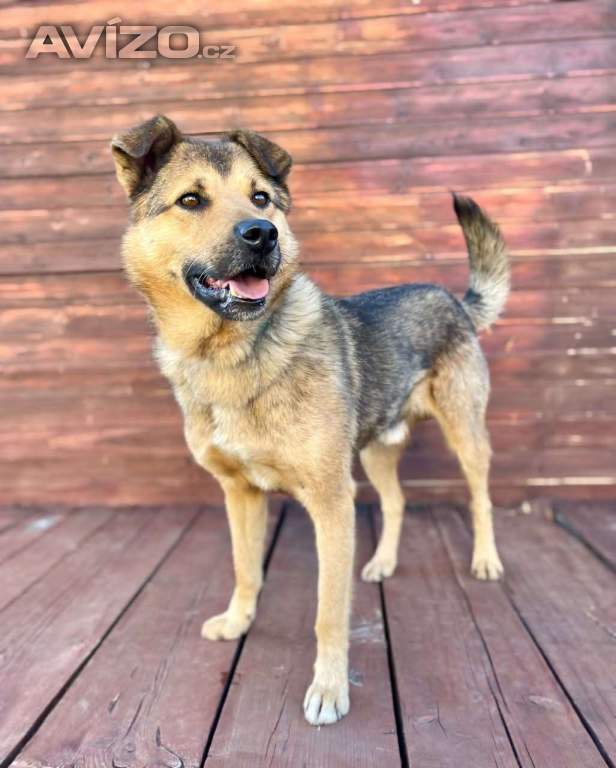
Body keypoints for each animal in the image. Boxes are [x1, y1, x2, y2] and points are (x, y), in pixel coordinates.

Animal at [111, 115, 509, 726]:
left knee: (480, 496)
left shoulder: (330, 500)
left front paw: (328, 688)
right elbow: (246, 568)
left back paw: (486, 560)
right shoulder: (240, 493)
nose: (261, 234)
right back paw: (382, 563)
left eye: (261, 198)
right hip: (376, 448)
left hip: (465, 432)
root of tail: (454, 300)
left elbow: (329, 610)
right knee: (397, 501)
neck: (231, 356)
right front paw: (238, 622)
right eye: (190, 200)